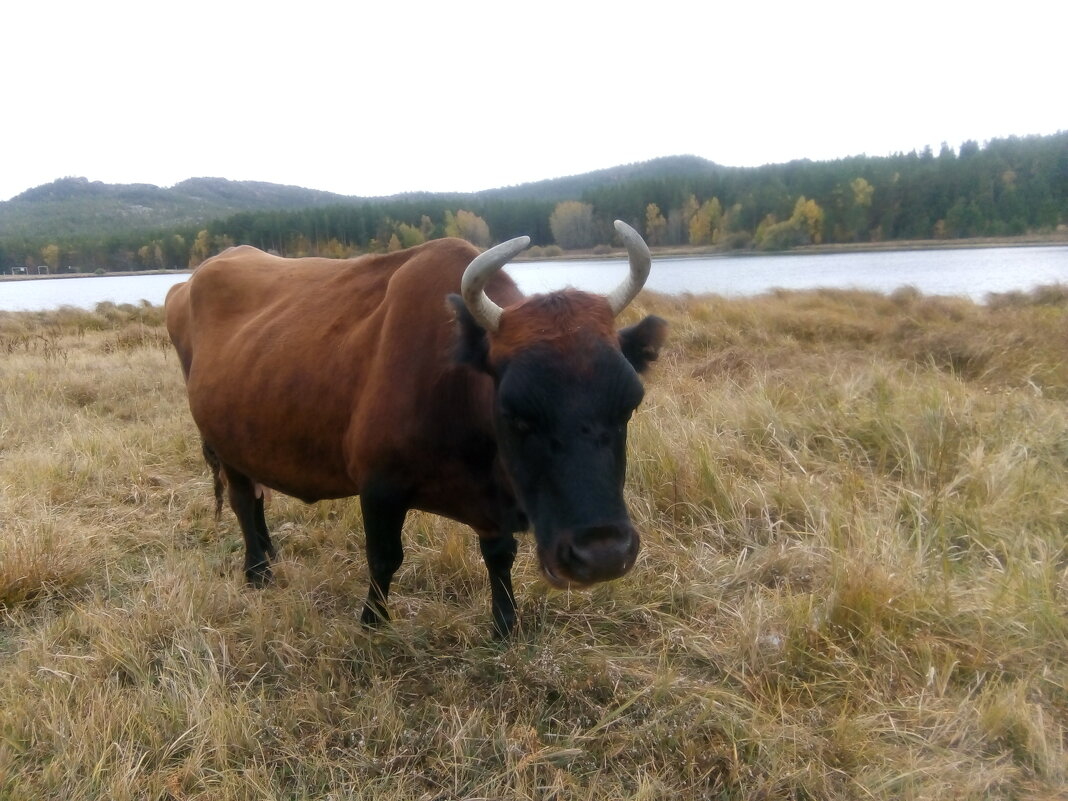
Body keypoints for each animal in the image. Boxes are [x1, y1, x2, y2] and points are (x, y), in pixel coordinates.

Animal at [164, 221, 666, 640]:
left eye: (628, 405)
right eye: (515, 412)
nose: (601, 554)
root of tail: (194, 277)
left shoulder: (494, 500)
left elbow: (499, 555)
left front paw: (505, 626)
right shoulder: (379, 485)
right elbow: (385, 557)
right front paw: (372, 623)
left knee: (258, 497)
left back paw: (270, 556)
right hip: (221, 442)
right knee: (242, 500)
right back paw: (257, 571)